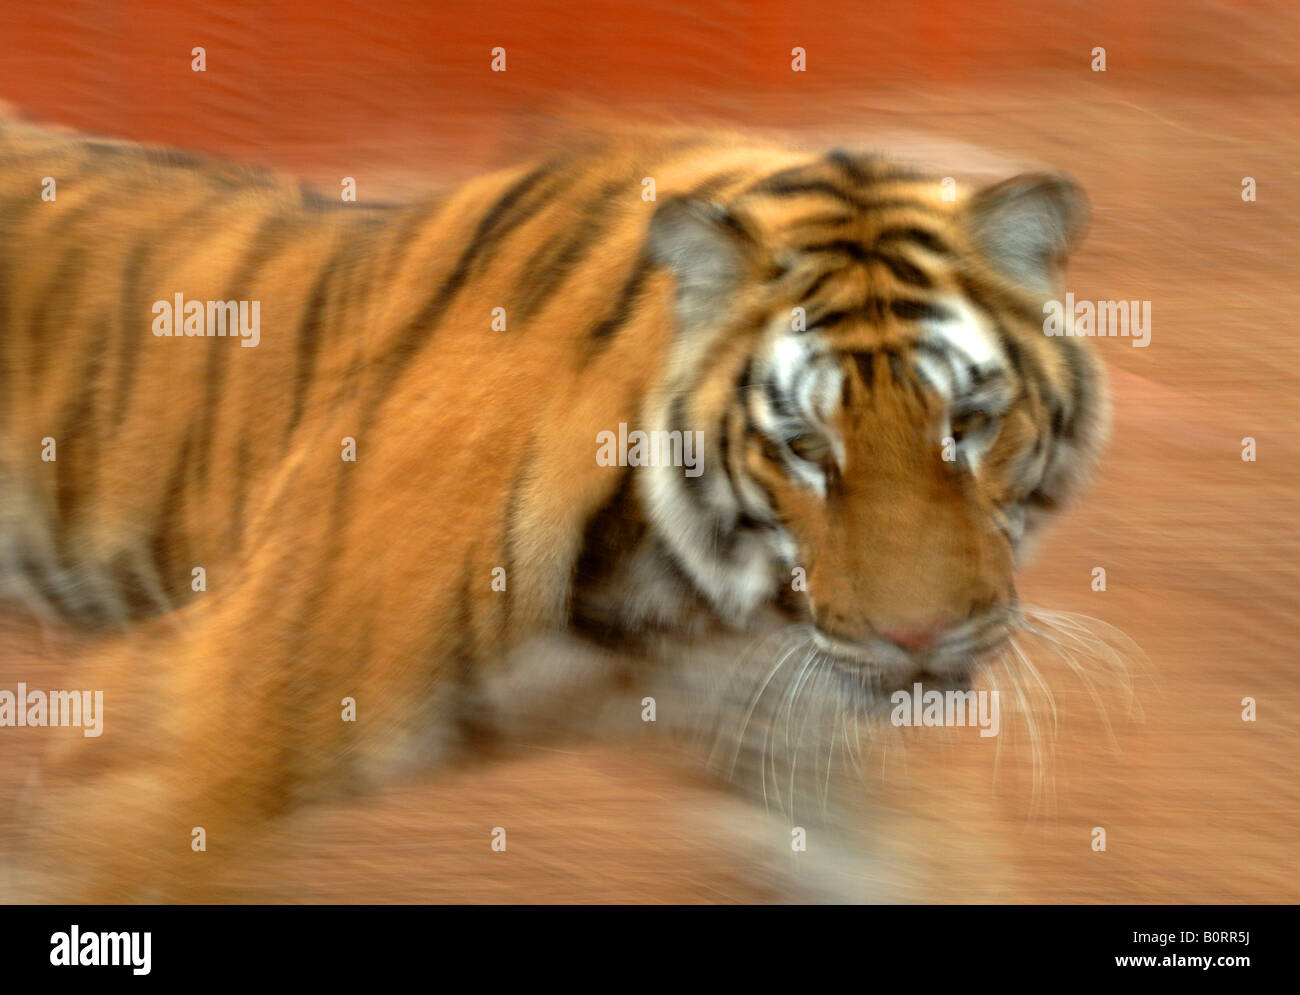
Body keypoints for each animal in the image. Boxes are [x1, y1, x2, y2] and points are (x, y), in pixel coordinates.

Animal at [0, 114, 1107, 901]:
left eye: (968, 423)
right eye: (804, 445)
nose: (918, 636)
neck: (686, 600)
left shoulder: (790, 744)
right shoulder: (183, 740)